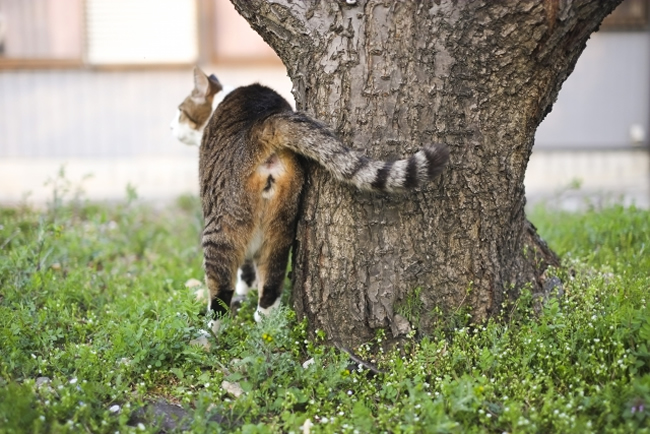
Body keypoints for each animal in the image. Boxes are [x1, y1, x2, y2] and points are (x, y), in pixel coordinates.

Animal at [170, 67, 448, 332]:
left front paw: (240, 294)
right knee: (271, 283)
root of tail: (263, 123)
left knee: (221, 294)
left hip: (221, 228)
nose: (172, 127)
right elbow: (249, 272)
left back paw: (207, 332)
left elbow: (240, 272)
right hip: (280, 226)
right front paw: (246, 292)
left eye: (181, 111)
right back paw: (265, 327)